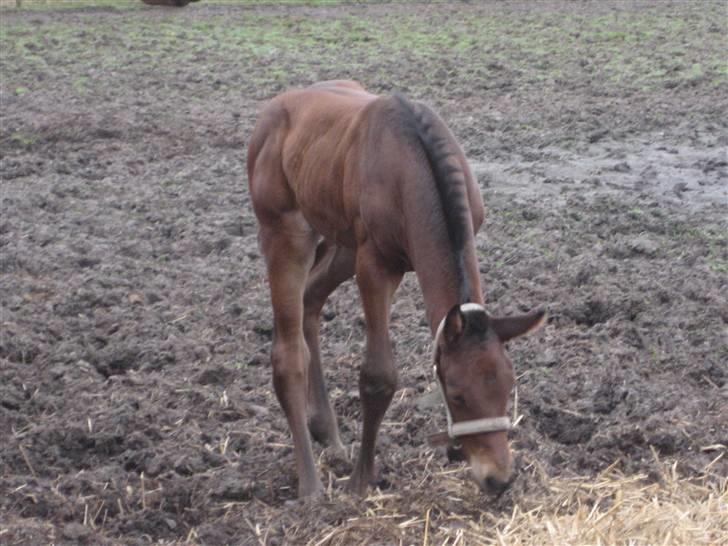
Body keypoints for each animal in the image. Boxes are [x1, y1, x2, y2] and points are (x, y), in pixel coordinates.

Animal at [247, 81, 544, 498]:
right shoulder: (375, 265)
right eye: (457, 395)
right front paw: (361, 480)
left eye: (507, 387)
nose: (498, 479)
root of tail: (272, 111)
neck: (412, 164)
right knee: (288, 354)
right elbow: (378, 377)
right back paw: (311, 487)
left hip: (342, 242)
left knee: (312, 298)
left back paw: (328, 433)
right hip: (287, 234)